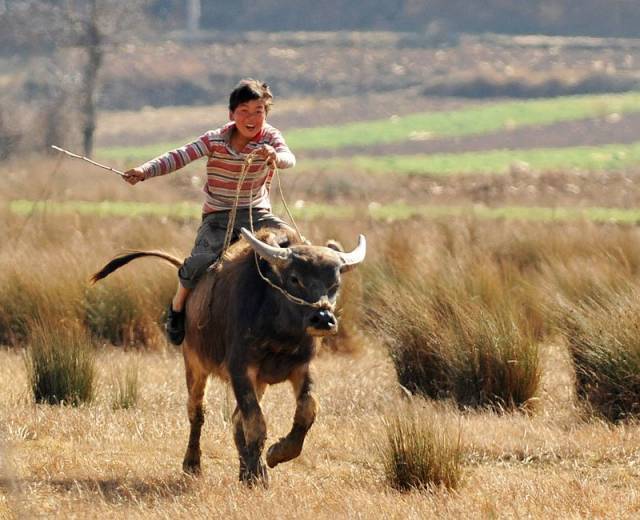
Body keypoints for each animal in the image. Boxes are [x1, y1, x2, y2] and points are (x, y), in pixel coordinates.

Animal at [92, 225, 368, 486]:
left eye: (335, 284)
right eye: (294, 278)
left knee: (236, 419)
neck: (280, 331)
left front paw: (275, 455)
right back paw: (193, 463)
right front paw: (261, 472)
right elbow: (255, 422)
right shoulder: (240, 369)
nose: (323, 318)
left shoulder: (300, 367)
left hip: (259, 382)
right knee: (197, 412)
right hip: (194, 365)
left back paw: (245, 471)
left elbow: (307, 409)